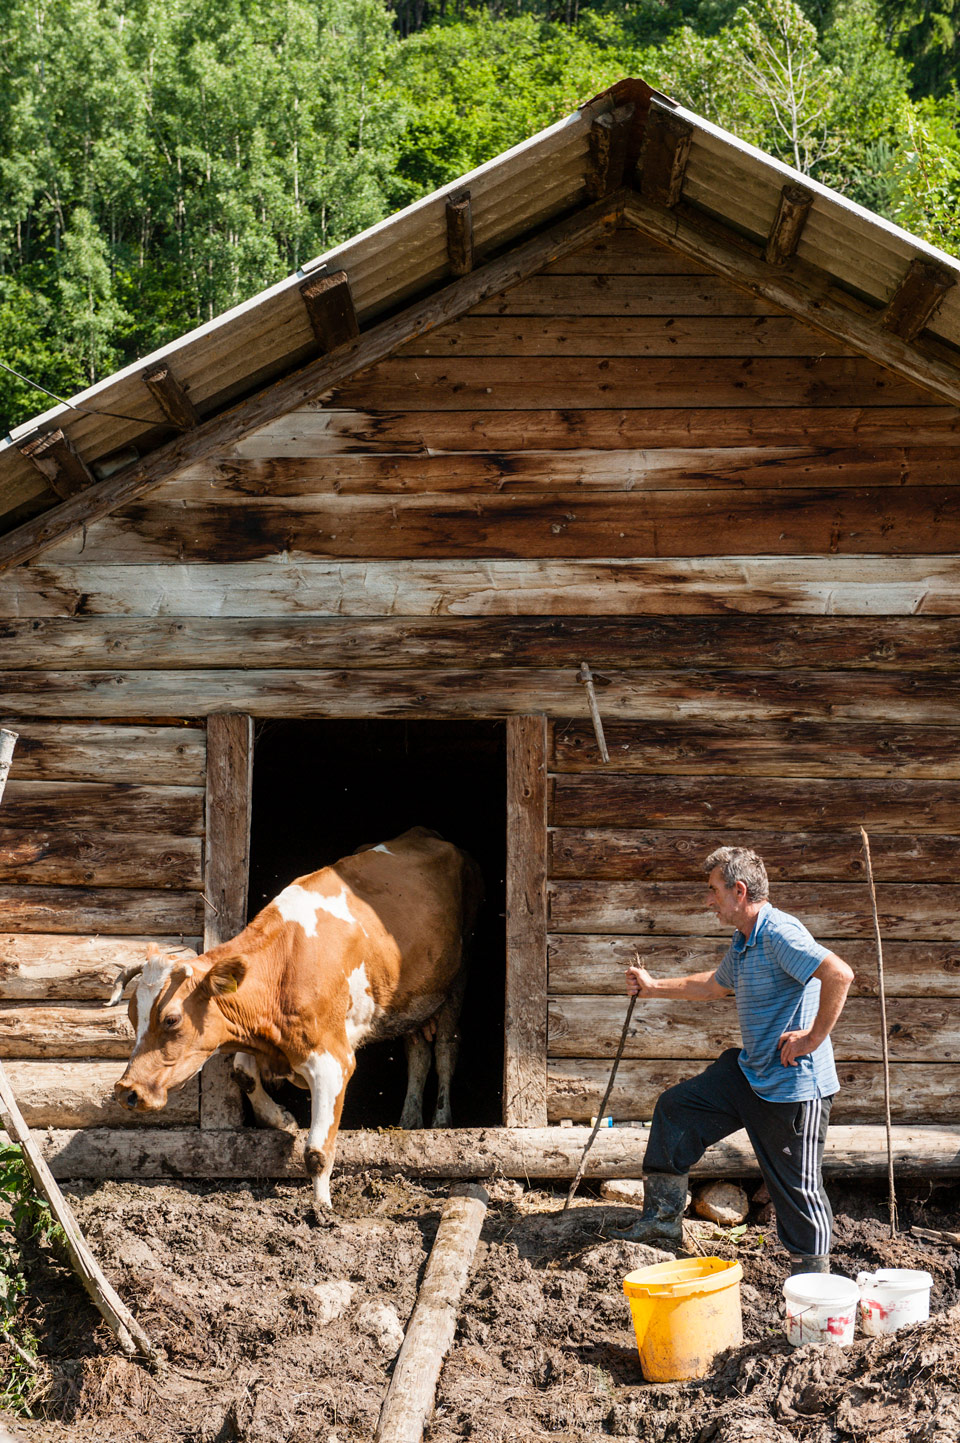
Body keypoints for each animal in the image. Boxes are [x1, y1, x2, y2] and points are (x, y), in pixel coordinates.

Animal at [110, 825, 479, 1206]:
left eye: (171, 1019)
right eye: (132, 1017)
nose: (126, 1092)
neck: (284, 967)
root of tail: (421, 831)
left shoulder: (334, 1060)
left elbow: (316, 1153)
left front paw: (322, 1209)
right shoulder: (252, 1032)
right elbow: (243, 1073)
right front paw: (281, 1119)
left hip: (456, 980)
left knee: (445, 1049)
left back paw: (441, 1120)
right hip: (412, 1000)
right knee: (417, 1052)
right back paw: (408, 1120)